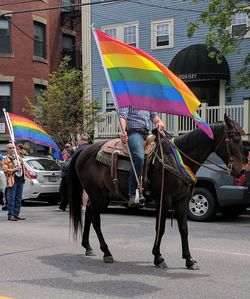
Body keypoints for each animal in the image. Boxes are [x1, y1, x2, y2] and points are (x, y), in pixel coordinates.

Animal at [68, 115, 246, 270]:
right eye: (234, 138)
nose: (242, 170)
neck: (176, 159)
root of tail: (83, 151)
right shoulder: (164, 199)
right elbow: (160, 228)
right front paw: (158, 257)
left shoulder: (182, 200)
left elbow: (184, 228)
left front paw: (189, 259)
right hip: (97, 194)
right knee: (95, 219)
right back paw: (106, 252)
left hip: (102, 195)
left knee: (89, 213)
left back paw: (88, 246)